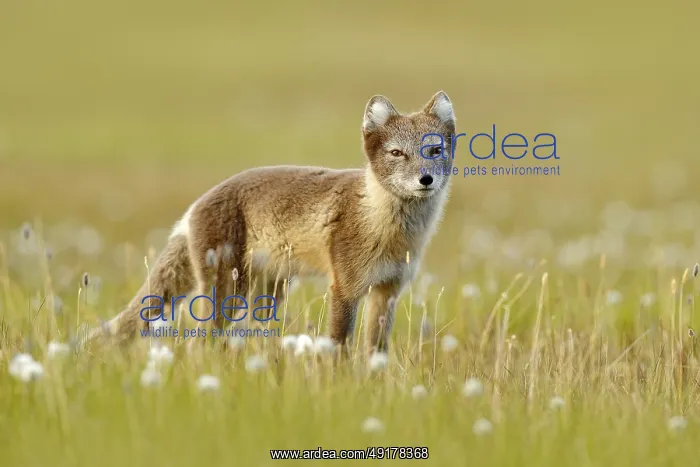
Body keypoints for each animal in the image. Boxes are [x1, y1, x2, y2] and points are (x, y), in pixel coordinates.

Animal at [82, 91, 456, 355]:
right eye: (397, 154)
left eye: (434, 151)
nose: (425, 179)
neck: (390, 231)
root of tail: (194, 206)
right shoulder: (345, 289)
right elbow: (338, 351)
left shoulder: (387, 292)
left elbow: (376, 354)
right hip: (228, 294)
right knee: (198, 344)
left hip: (268, 294)